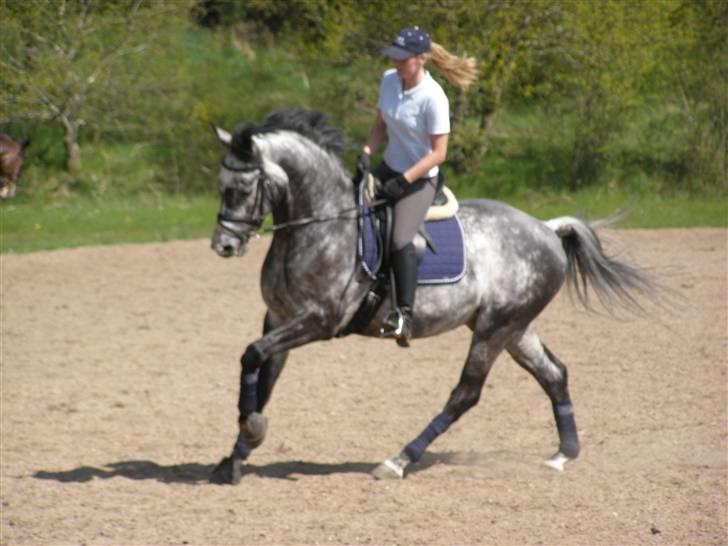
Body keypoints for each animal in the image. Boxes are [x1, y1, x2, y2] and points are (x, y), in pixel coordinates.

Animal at [208, 108, 656, 482]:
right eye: (220, 186)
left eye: (243, 188)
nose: (223, 246)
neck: (320, 226)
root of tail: (546, 229)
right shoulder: (279, 318)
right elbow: (263, 376)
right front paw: (235, 456)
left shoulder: (318, 320)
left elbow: (252, 355)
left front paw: (251, 433)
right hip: (513, 327)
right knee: (554, 374)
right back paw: (563, 454)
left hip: (496, 328)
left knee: (466, 394)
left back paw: (398, 460)